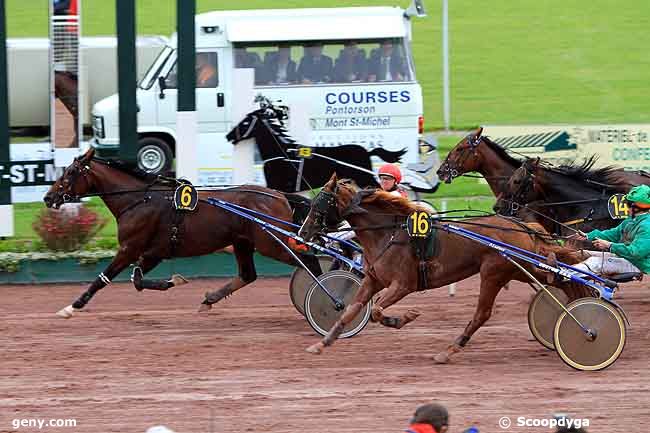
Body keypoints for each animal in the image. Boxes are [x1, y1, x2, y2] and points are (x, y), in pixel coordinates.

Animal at [43, 148, 322, 318]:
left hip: (271, 243)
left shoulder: (129, 248)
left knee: (308, 261)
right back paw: (209, 299)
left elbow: (103, 278)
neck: (139, 200)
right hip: (243, 242)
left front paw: (72, 306)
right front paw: (174, 281)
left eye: (70, 172)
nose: (48, 197)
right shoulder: (154, 252)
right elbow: (137, 280)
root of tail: (279, 195)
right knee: (247, 275)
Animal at [225, 100, 402, 192]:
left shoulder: (279, 186)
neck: (283, 153)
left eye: (246, 122)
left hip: (365, 177)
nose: (229, 136)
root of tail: (367, 151)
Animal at [296, 174, 580, 362]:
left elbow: (376, 311)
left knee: (485, 312)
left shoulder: (403, 284)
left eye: (320, 203)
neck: (388, 233)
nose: (303, 233)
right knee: (555, 278)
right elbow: (351, 310)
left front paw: (405, 317)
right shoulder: (373, 280)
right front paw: (322, 343)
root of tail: (519, 226)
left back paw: (450, 350)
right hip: (515, 269)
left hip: (496, 272)